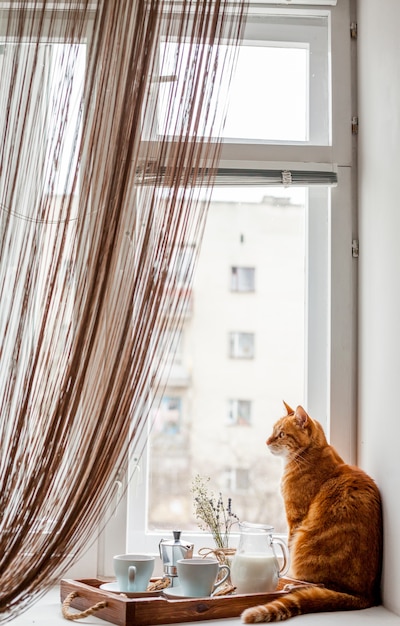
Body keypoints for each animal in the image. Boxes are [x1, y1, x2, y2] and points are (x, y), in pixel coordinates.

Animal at [241, 402, 382, 620]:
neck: (309, 454)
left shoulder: (295, 516)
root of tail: (363, 596)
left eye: (281, 434)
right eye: (273, 431)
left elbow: (289, 546)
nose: (266, 441)